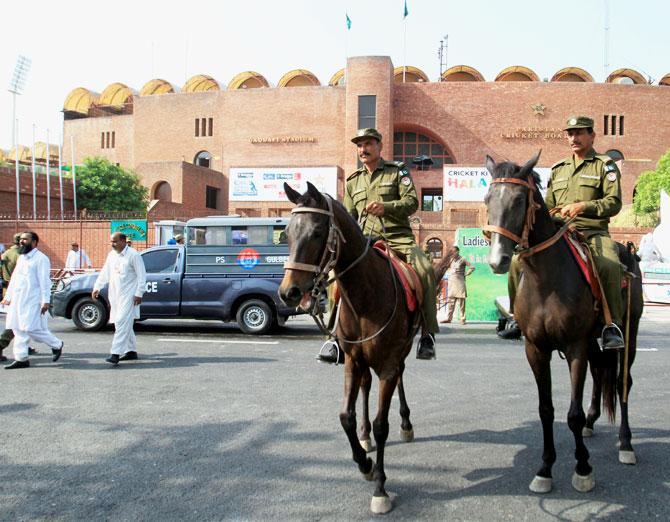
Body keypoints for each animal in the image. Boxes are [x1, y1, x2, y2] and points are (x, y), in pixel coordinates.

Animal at [280, 182, 422, 512]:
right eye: (287, 233)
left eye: (317, 232)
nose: (288, 291)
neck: (365, 297)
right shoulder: (352, 360)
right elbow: (346, 415)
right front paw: (364, 463)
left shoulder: (388, 364)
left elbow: (383, 423)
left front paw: (381, 487)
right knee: (367, 386)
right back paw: (365, 437)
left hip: (402, 352)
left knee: (401, 377)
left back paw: (405, 423)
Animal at [486, 151, 644, 492]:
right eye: (488, 198)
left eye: (519, 200)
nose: (497, 260)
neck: (546, 279)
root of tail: (629, 253)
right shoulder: (536, 349)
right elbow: (546, 410)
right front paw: (545, 468)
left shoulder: (575, 346)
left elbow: (572, 413)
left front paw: (583, 468)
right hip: (594, 341)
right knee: (600, 373)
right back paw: (592, 423)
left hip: (630, 332)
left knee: (622, 383)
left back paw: (626, 443)